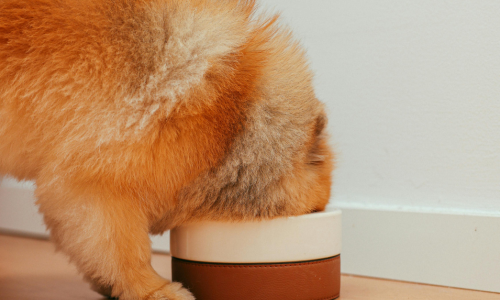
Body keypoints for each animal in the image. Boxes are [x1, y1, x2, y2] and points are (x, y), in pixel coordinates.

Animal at [0, 1, 336, 298]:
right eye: (315, 210)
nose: (321, 213)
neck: (231, 122)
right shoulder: (93, 185)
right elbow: (123, 250)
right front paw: (152, 290)